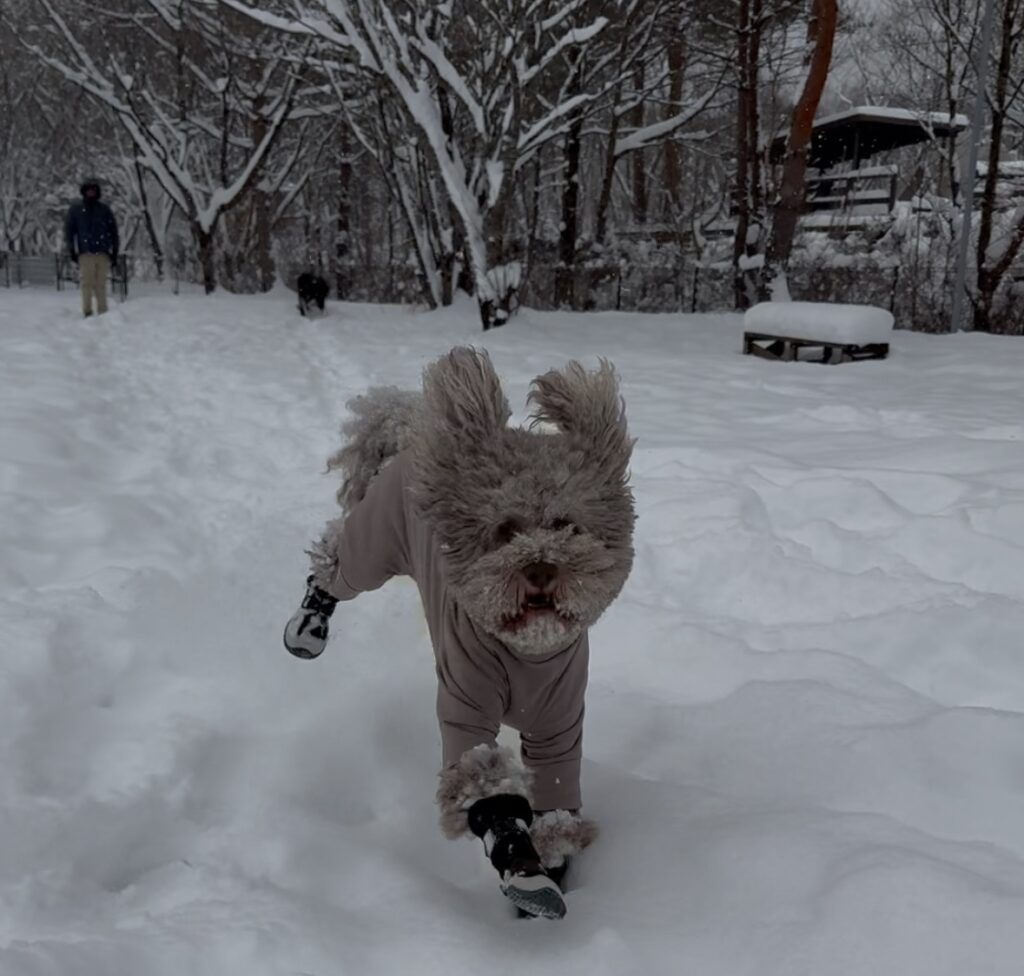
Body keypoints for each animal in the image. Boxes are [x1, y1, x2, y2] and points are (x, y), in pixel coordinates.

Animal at [280, 346, 630, 917]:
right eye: (505, 529)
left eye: (566, 525)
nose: (540, 568)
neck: (524, 654)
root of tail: (413, 429)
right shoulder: (466, 702)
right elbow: (483, 784)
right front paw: (523, 869)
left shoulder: (560, 721)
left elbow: (557, 797)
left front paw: (552, 863)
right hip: (372, 544)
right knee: (333, 561)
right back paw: (308, 625)